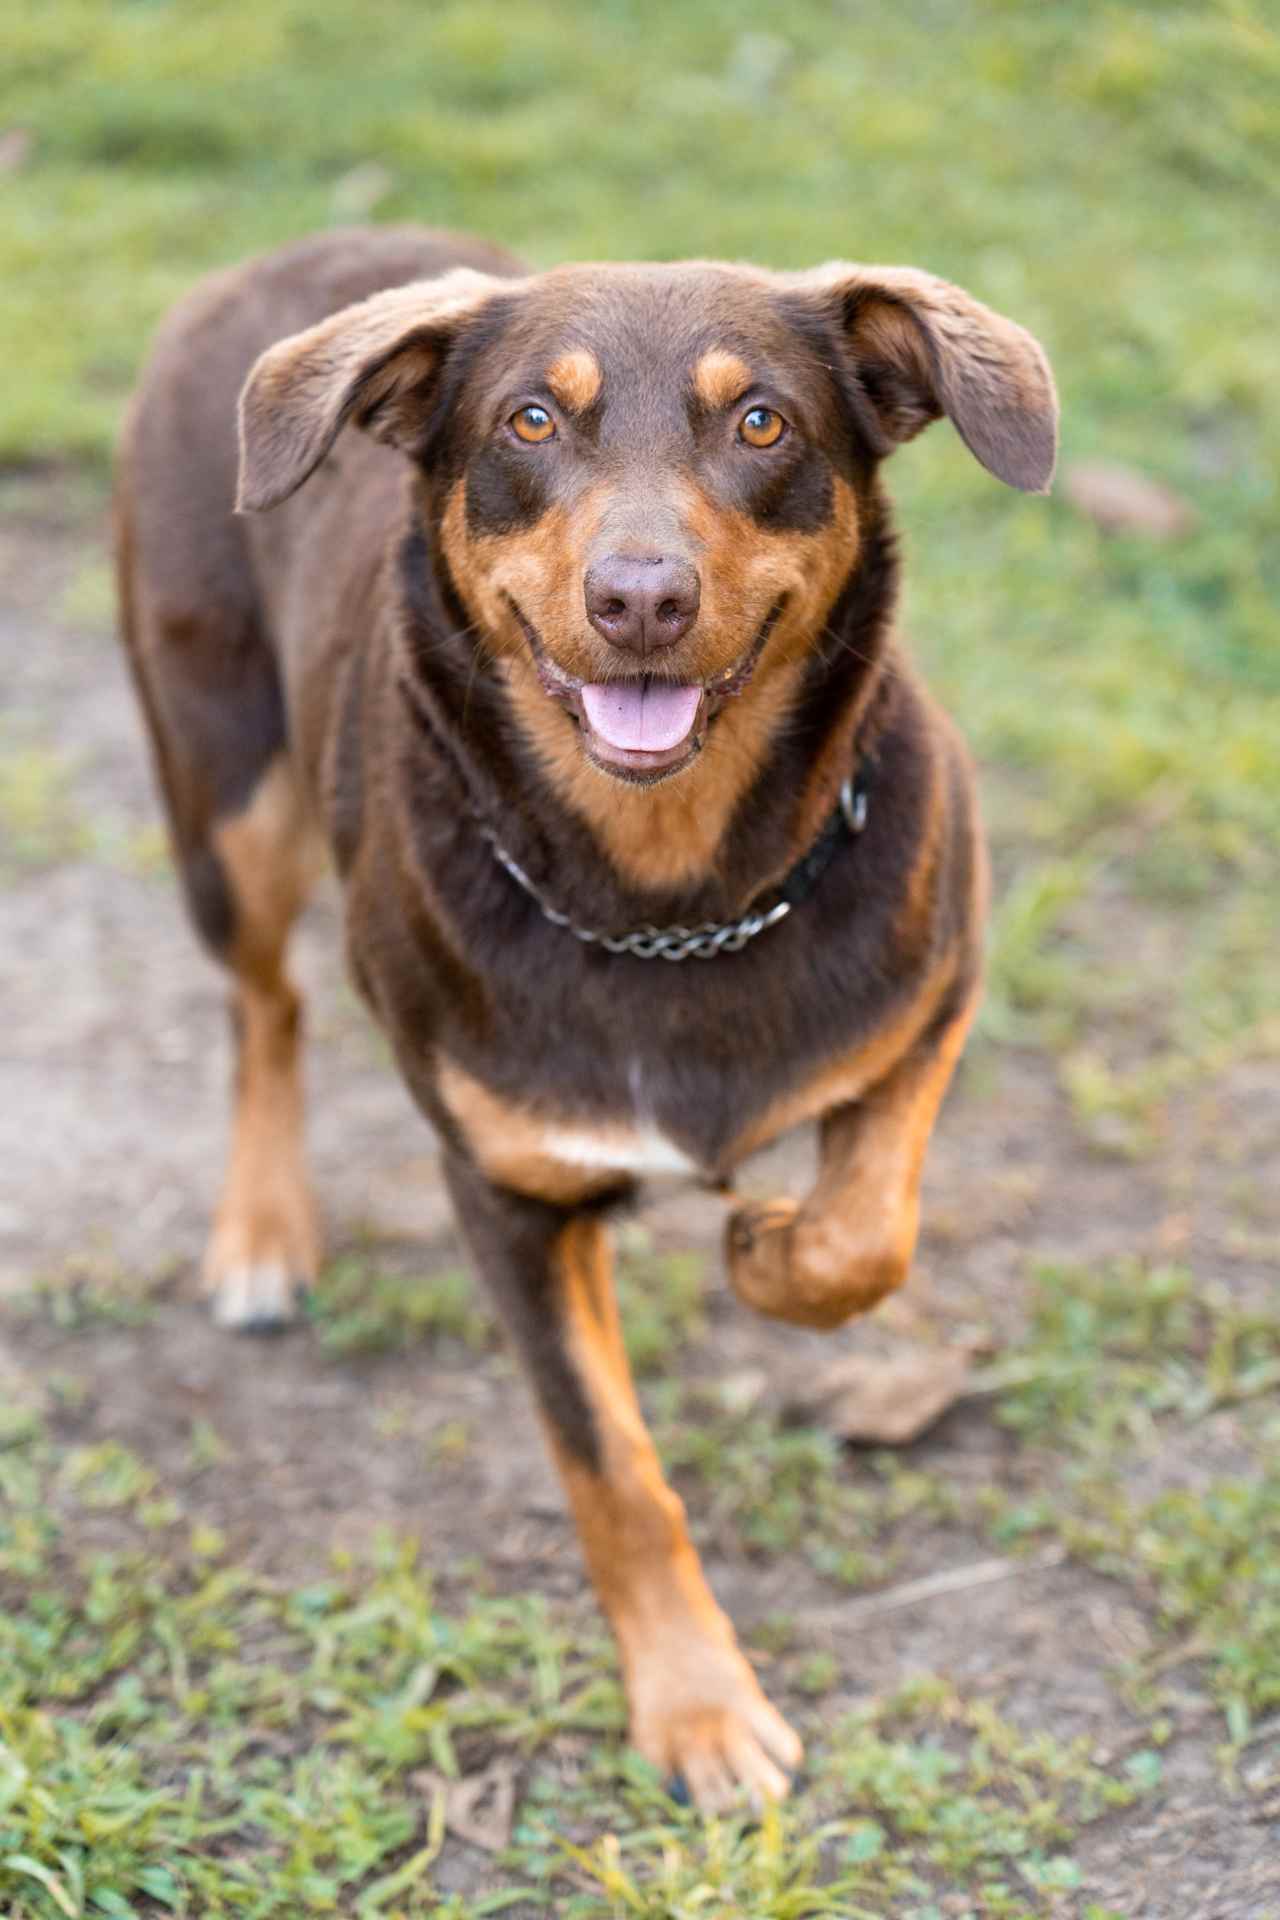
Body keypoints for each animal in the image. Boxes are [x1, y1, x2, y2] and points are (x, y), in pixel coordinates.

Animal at [115, 228, 1059, 1812]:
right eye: (529, 423)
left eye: (764, 424)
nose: (640, 601)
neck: (667, 894)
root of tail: (284, 257)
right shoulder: (505, 1192)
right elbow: (608, 1466)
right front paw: (698, 1711)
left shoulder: (939, 982)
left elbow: (866, 1230)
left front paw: (767, 1249)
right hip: (225, 795)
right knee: (264, 1005)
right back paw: (259, 1232)